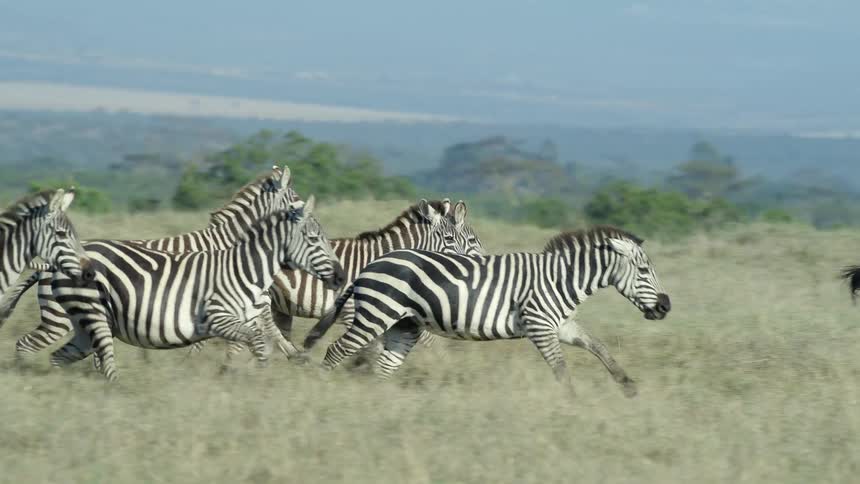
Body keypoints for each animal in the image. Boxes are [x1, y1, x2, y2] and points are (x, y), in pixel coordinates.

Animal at [0, 165, 305, 362]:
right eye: (296, 202)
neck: (228, 243)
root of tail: (48, 267)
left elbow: (265, 322)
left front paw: (290, 353)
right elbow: (264, 322)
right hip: (60, 318)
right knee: (27, 344)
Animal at [47, 197, 346, 382]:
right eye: (314, 239)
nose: (342, 277)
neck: (245, 269)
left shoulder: (249, 319)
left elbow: (264, 344)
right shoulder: (218, 318)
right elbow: (260, 345)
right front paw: (258, 383)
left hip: (86, 323)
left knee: (58, 358)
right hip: (93, 313)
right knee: (104, 363)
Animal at [303, 226, 671, 398]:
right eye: (643, 271)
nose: (665, 306)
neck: (560, 279)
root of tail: (370, 265)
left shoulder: (562, 325)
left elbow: (599, 347)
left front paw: (628, 386)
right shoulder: (539, 324)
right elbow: (560, 368)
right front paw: (572, 401)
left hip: (403, 324)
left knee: (383, 367)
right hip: (377, 314)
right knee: (337, 350)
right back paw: (322, 391)